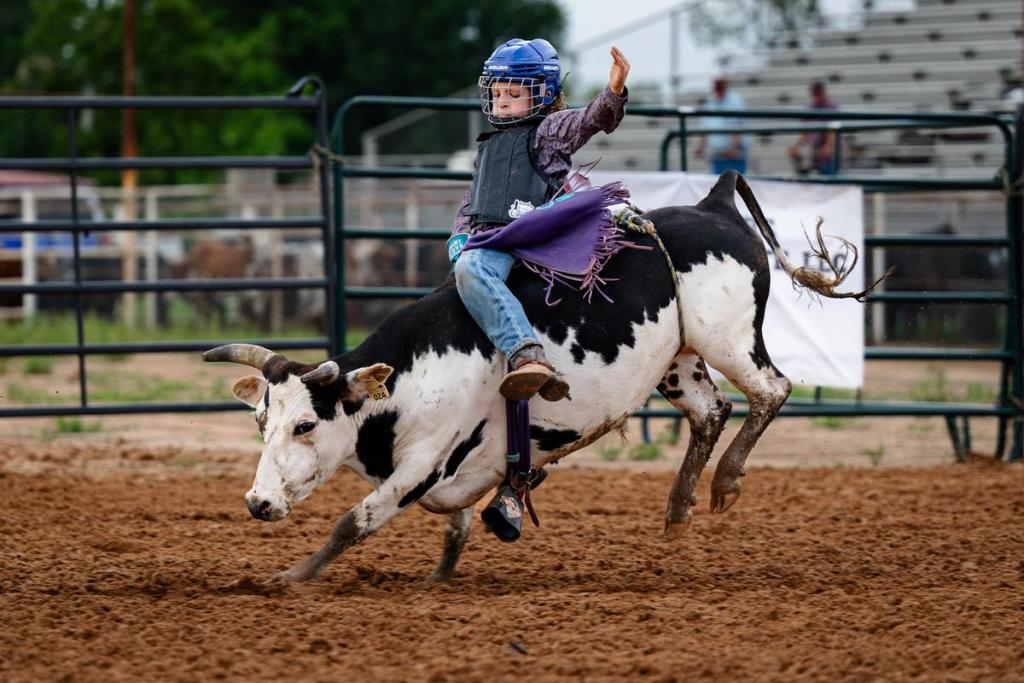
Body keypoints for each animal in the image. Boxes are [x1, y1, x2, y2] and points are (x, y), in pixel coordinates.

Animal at [204, 172, 878, 585]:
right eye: (261, 421)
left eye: (305, 424)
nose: (257, 503)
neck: (411, 374)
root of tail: (712, 204)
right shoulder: (454, 472)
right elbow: (455, 522)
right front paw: (438, 578)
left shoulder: (422, 461)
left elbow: (356, 520)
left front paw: (290, 578)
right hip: (680, 361)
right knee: (712, 412)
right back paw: (678, 508)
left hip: (729, 339)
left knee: (770, 392)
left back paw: (725, 483)